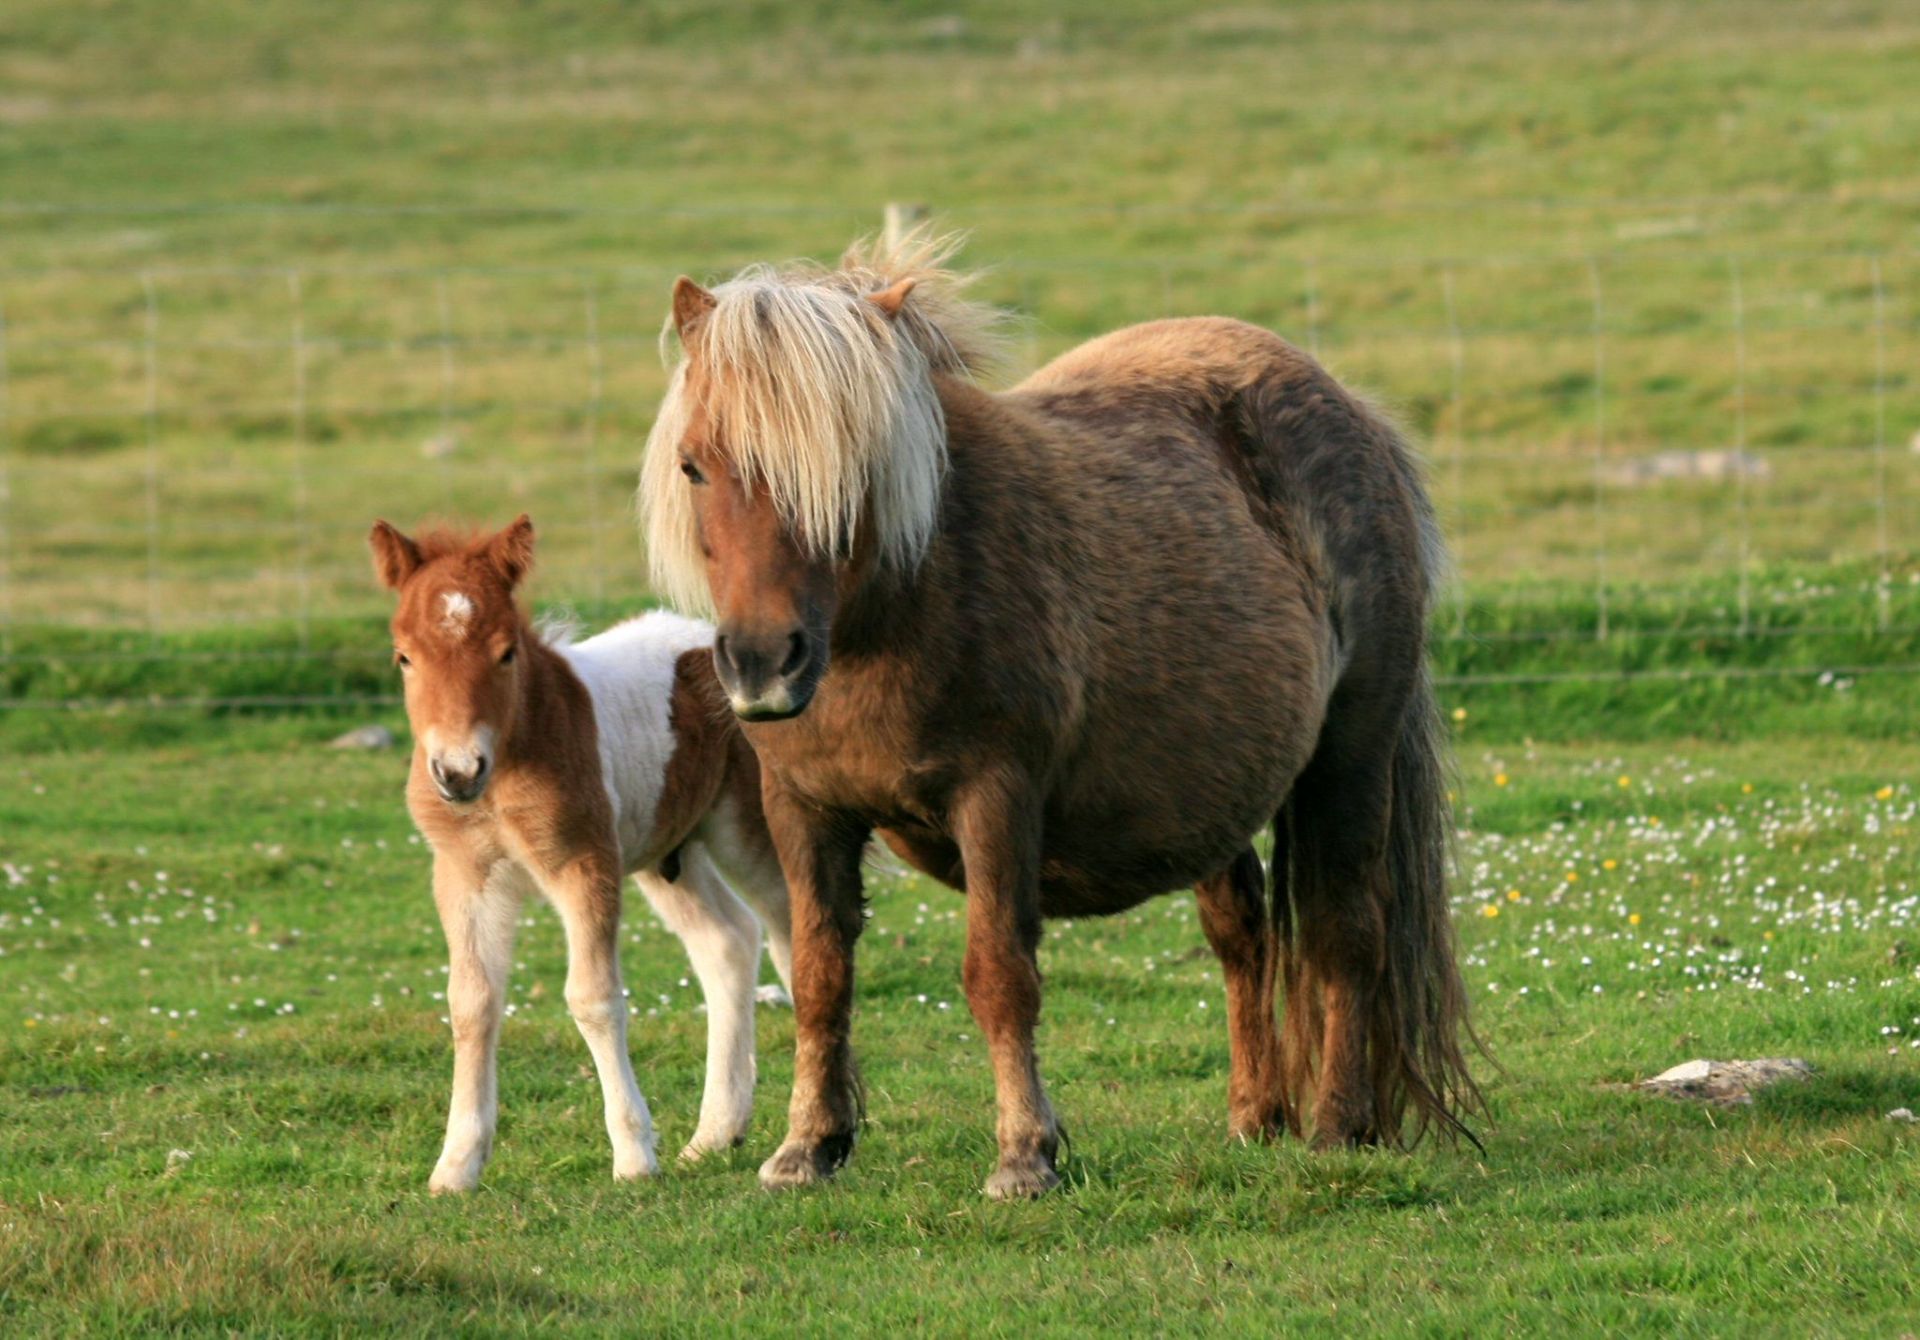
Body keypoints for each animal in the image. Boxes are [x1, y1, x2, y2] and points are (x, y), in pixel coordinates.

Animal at [366, 514, 787, 1190]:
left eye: (506, 652)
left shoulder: (584, 862)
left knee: (798, 934)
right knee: (728, 941)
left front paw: (634, 1156)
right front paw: (456, 1165)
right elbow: (471, 1003)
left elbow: (592, 998)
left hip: (750, 830)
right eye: (403, 657)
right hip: (672, 853)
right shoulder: (464, 874)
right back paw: (714, 1135)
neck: (508, 763)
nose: (457, 771)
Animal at [637, 232, 1474, 1197]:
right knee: (1244, 935)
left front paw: (1024, 1155)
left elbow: (999, 973)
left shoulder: (996, 797)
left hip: (1350, 757)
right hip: (1213, 787)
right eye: (695, 465)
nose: (762, 664)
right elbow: (817, 971)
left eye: (847, 472)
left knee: (1345, 931)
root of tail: (1352, 412)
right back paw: (1254, 1118)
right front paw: (809, 1144)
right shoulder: (805, 809)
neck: (899, 609)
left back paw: (1337, 1126)